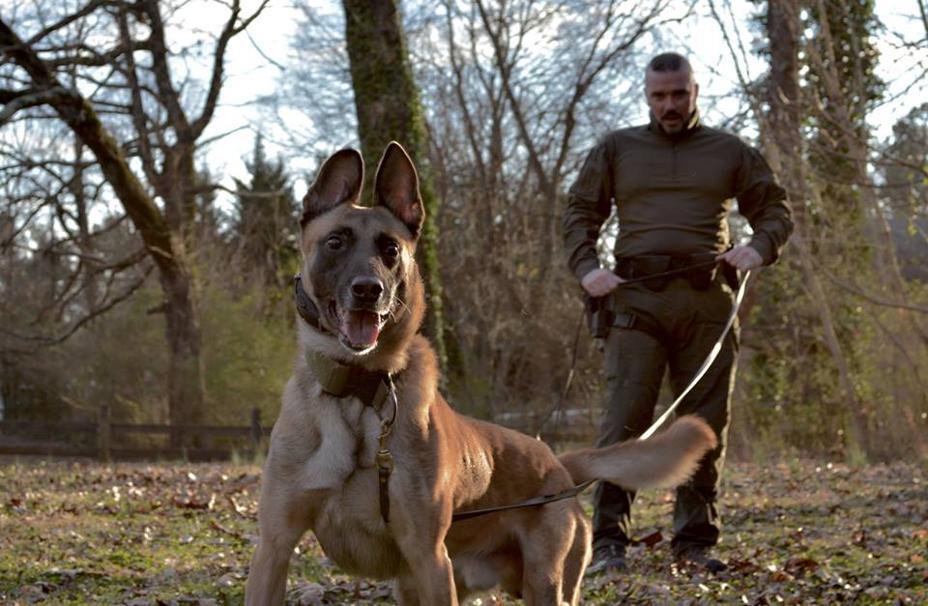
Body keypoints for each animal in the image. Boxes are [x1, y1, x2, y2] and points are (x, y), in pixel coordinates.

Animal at [243, 144, 716, 606]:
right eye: (335, 242)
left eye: (391, 250)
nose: (367, 290)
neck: (359, 392)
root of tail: (558, 463)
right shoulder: (274, 548)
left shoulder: (429, 558)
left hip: (545, 585)